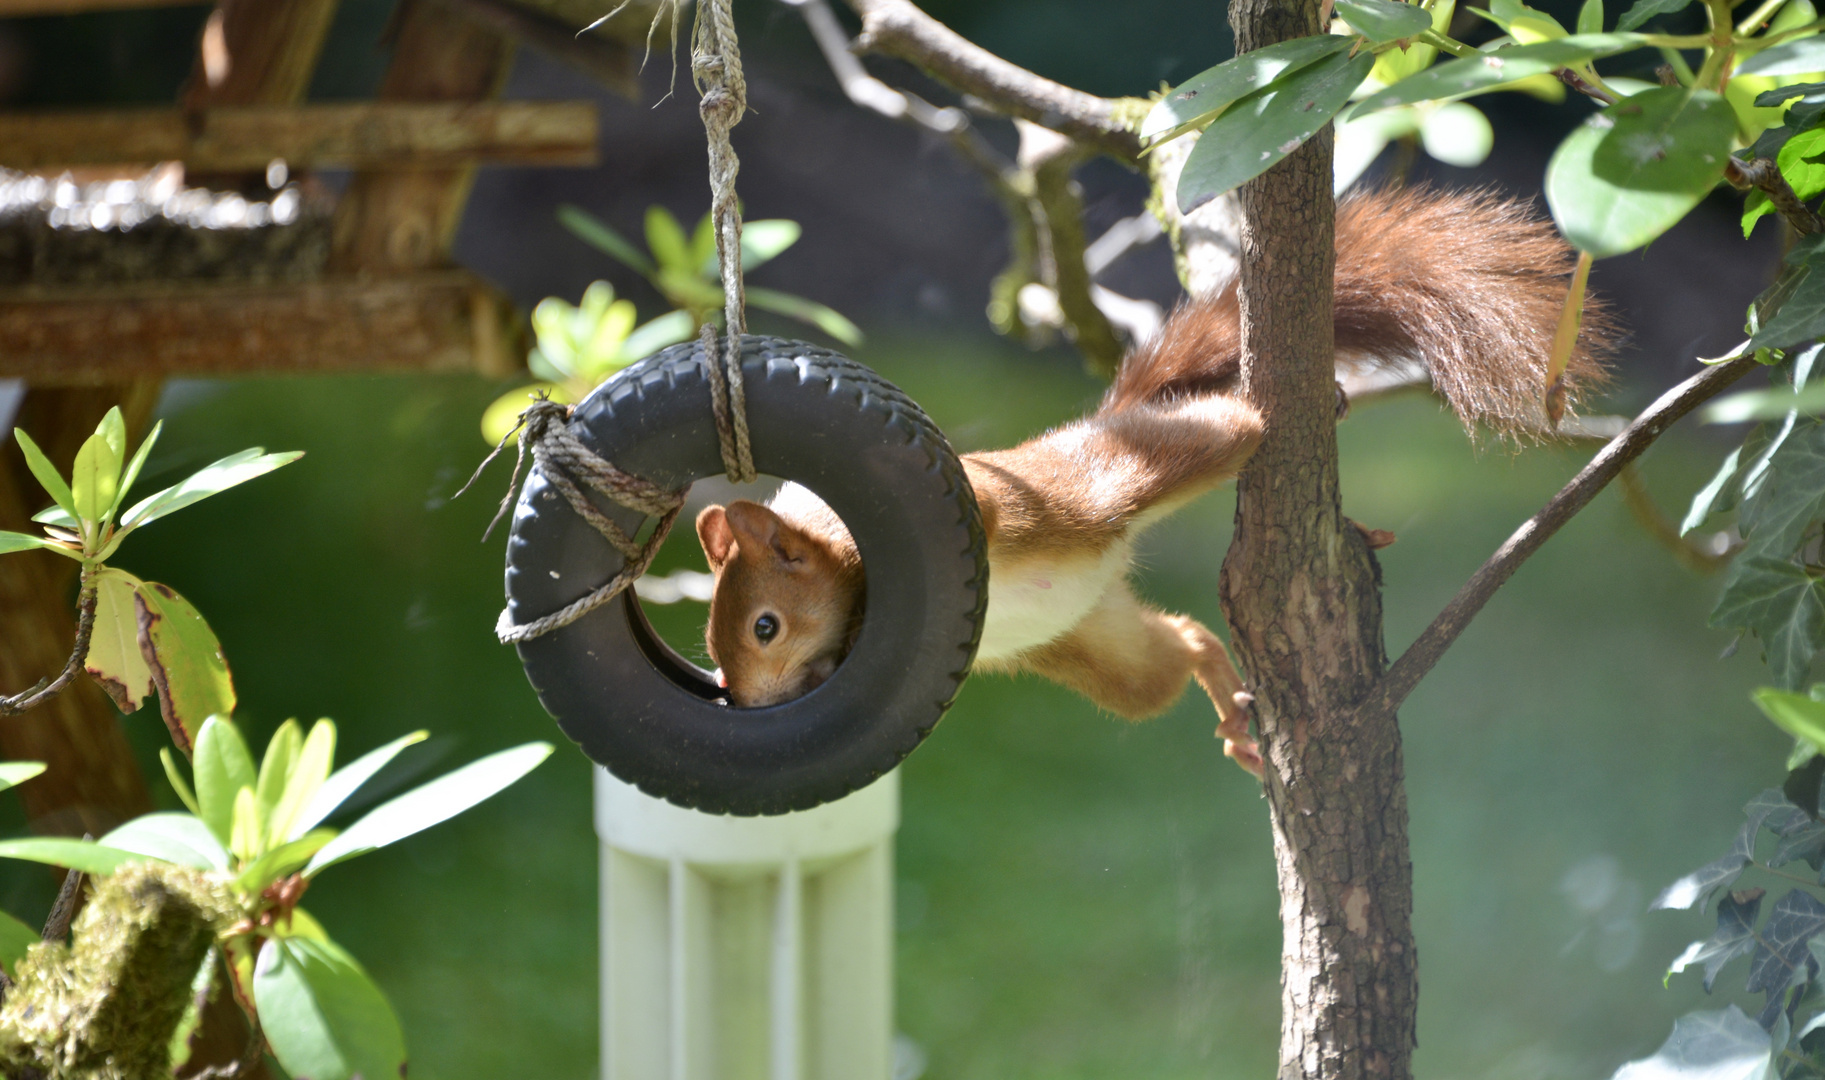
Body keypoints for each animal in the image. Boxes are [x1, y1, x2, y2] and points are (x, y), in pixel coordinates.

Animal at [693, 187, 1613, 777]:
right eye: (710, 638)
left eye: (765, 626)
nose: (740, 699)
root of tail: (1107, 425)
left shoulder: (971, 503)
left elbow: (962, 510)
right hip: (1100, 652)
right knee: (1182, 644)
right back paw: (1227, 704)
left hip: (1128, 474)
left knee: (1229, 427)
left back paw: (1287, 409)